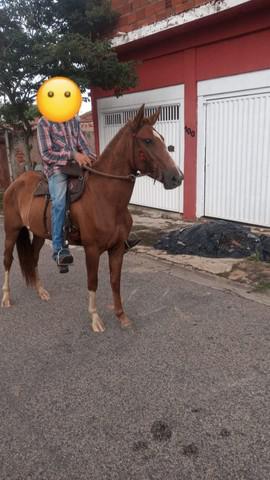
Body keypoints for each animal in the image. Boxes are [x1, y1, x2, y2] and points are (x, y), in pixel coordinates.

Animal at [1, 104, 184, 330]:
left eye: (163, 139)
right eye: (148, 140)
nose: (177, 177)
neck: (106, 198)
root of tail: (15, 183)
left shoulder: (117, 249)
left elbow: (115, 281)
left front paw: (121, 315)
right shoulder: (92, 249)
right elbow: (93, 281)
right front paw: (95, 318)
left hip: (40, 234)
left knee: (33, 258)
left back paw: (41, 291)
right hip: (11, 230)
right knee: (7, 260)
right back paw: (6, 298)